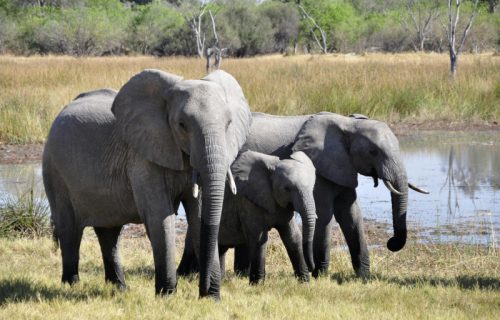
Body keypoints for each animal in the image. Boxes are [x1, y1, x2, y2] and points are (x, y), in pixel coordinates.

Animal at [42, 69, 252, 298]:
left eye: (229, 124)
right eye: (182, 125)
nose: (205, 291)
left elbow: (198, 215)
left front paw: (211, 298)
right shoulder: (143, 156)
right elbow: (160, 216)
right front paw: (167, 295)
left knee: (110, 232)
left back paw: (119, 288)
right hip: (54, 170)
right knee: (69, 229)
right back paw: (72, 284)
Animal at [219, 150, 316, 282]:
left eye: (312, 187)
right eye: (287, 189)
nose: (312, 268)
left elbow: (293, 237)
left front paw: (305, 283)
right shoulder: (247, 201)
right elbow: (259, 239)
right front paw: (258, 284)